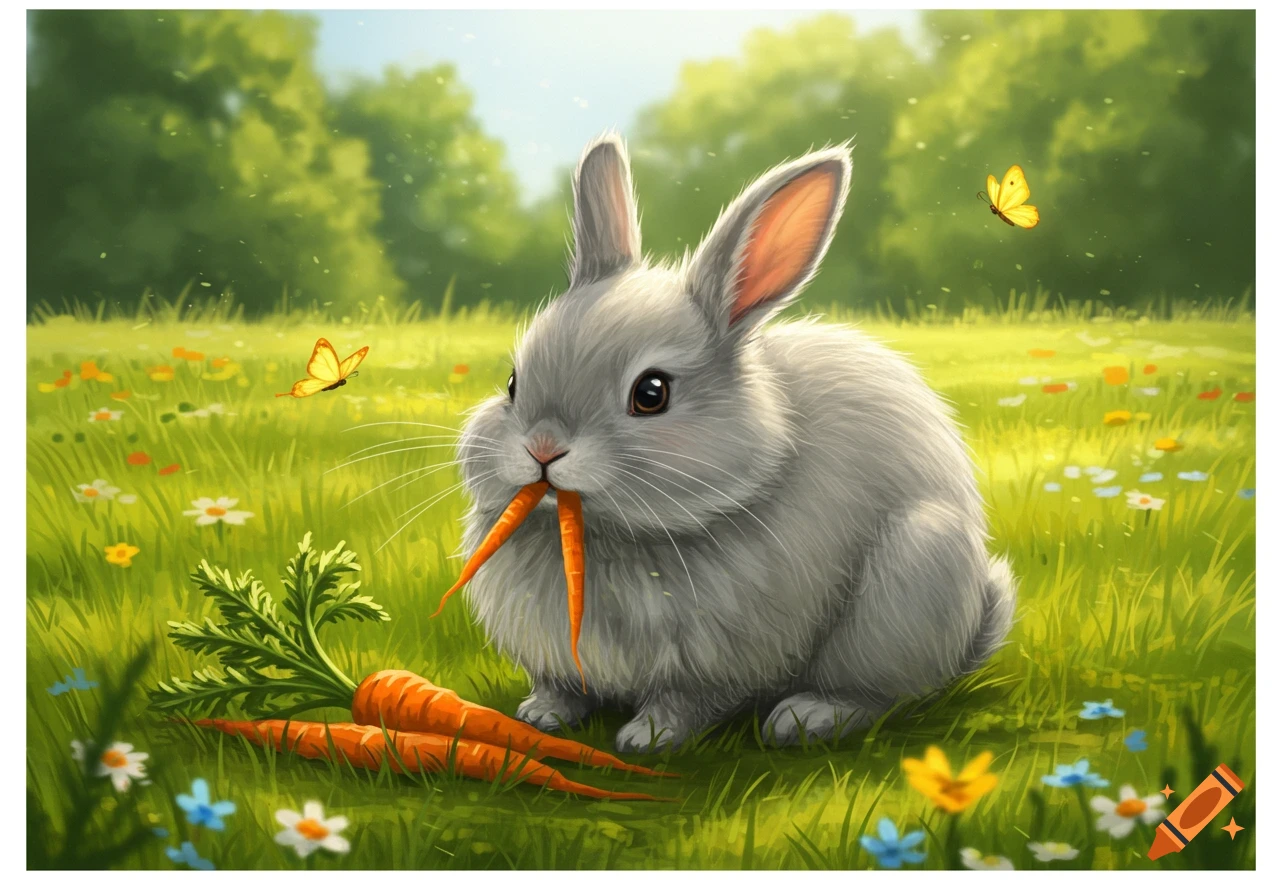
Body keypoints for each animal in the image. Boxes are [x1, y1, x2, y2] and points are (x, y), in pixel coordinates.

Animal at [454, 132, 1016, 753]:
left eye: (651, 393)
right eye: (513, 382)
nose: (543, 448)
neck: (602, 535)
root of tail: (975, 629)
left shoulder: (715, 662)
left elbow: (686, 701)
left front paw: (647, 738)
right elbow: (561, 685)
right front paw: (540, 716)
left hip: (910, 585)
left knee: (882, 694)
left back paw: (807, 717)